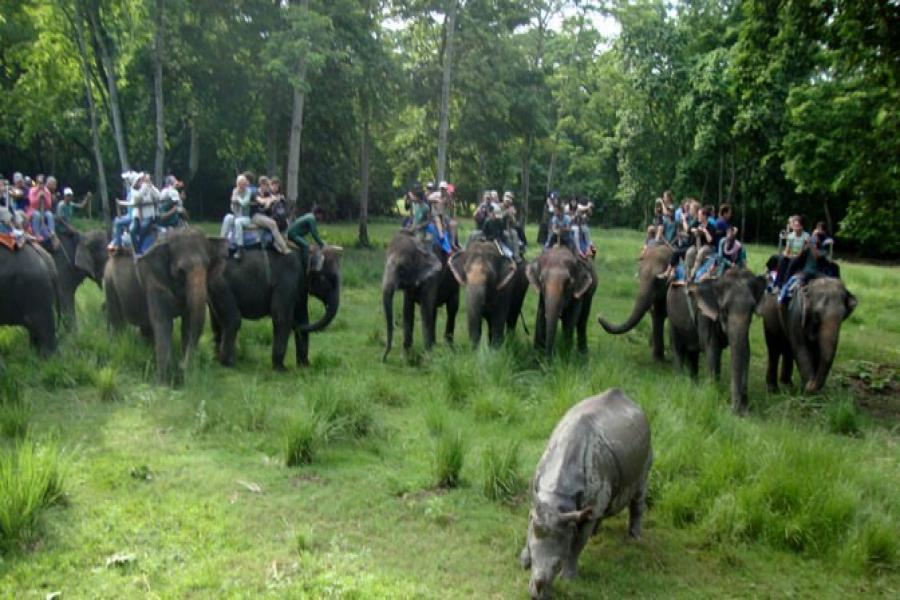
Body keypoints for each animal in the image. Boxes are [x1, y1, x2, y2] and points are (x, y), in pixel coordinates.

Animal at [103, 225, 227, 384]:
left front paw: (186, 377)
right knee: (117, 319)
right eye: (180, 271)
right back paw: (115, 346)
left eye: (208, 265)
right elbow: (163, 323)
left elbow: (188, 324)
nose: (181, 366)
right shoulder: (153, 282)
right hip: (109, 281)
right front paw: (163, 383)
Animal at [209, 245, 342, 368]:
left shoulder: (300, 284)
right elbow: (281, 317)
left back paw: (217, 360)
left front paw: (305, 367)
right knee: (233, 321)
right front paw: (281, 369)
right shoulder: (288, 279)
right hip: (221, 286)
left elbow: (302, 316)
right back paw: (229, 364)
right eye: (325, 279)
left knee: (216, 322)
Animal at [384, 231, 460, 360]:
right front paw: (406, 356)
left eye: (402, 268)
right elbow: (407, 311)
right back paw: (435, 344)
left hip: (455, 285)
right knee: (433, 312)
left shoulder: (433, 277)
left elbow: (424, 311)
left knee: (452, 309)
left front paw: (428, 356)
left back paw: (449, 347)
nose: (383, 359)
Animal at [520, 386, 652, 596]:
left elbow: (576, 545)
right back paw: (597, 532)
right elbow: (531, 526)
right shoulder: (539, 503)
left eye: (557, 565)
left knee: (638, 491)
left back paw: (634, 540)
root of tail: (634, 403)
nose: (536, 595)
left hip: (647, 448)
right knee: (597, 510)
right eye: (532, 559)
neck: (558, 500)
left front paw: (568, 578)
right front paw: (523, 559)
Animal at [684, 270, 768, 414]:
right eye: (724, 309)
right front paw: (713, 396)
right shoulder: (705, 316)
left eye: (752, 309)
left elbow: (745, 351)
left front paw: (745, 410)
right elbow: (712, 349)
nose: (734, 409)